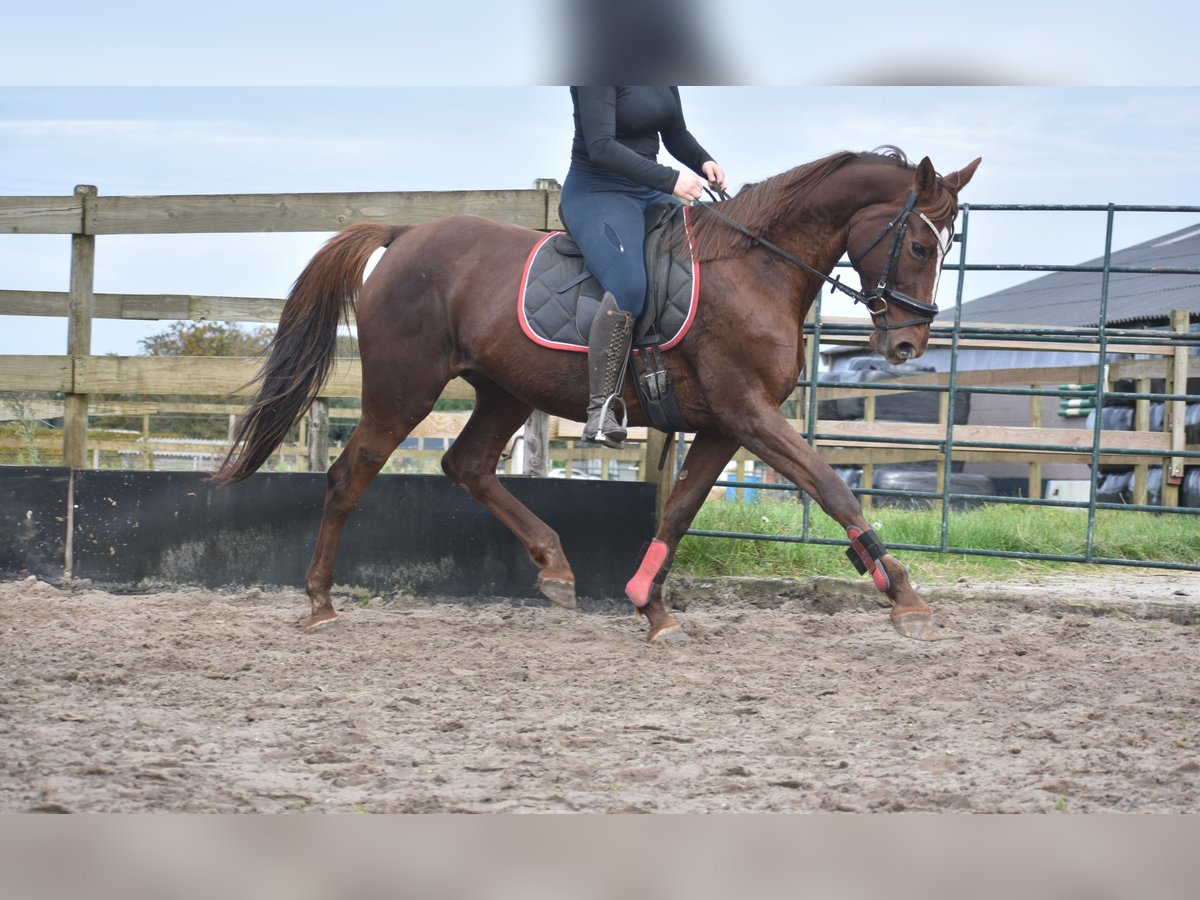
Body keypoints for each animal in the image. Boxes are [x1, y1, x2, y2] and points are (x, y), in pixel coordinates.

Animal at [213, 146, 974, 643]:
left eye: (945, 248)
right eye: (918, 246)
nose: (908, 346)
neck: (755, 266)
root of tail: (404, 236)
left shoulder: (724, 425)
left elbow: (679, 513)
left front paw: (650, 607)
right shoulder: (748, 413)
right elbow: (833, 487)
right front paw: (903, 595)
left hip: (502, 393)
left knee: (467, 465)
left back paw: (555, 568)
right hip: (404, 391)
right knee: (349, 477)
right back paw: (319, 603)